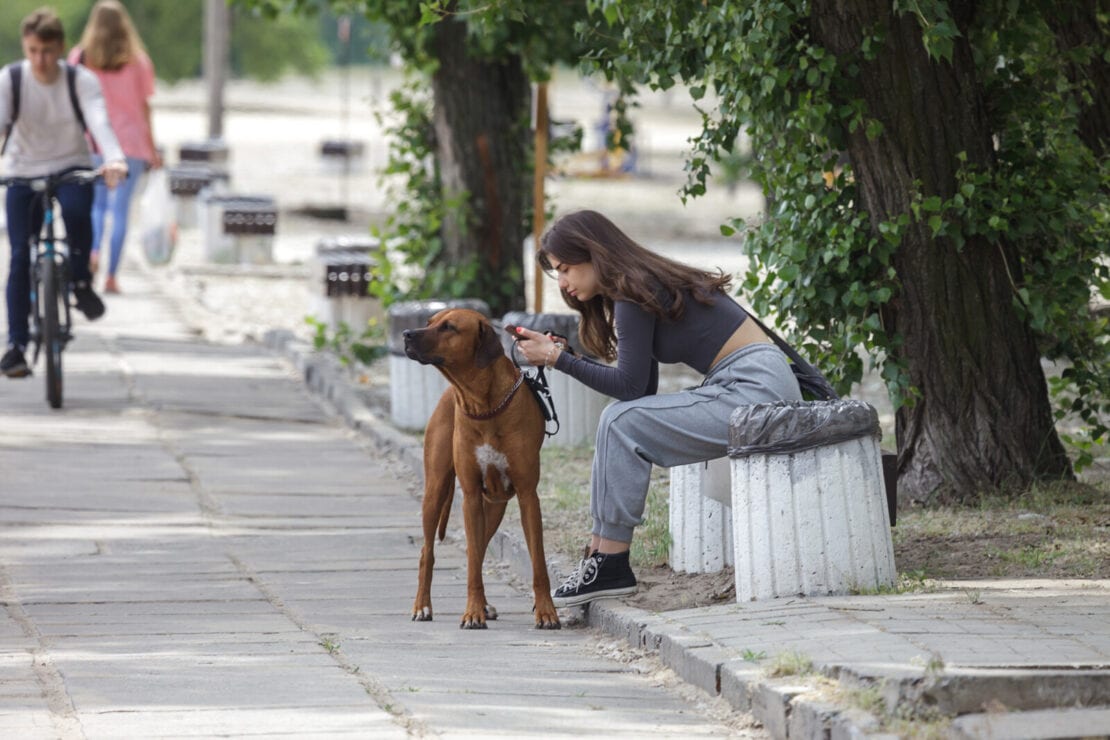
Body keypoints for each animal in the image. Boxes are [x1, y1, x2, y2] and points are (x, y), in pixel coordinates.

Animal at [404, 308, 559, 630]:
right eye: (429, 322)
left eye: (449, 327)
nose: (406, 334)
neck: (483, 403)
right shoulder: (471, 495)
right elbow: (473, 563)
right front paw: (472, 612)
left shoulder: (528, 496)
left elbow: (538, 563)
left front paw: (546, 612)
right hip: (436, 490)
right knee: (429, 552)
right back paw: (423, 606)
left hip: (496, 504)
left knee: (478, 548)